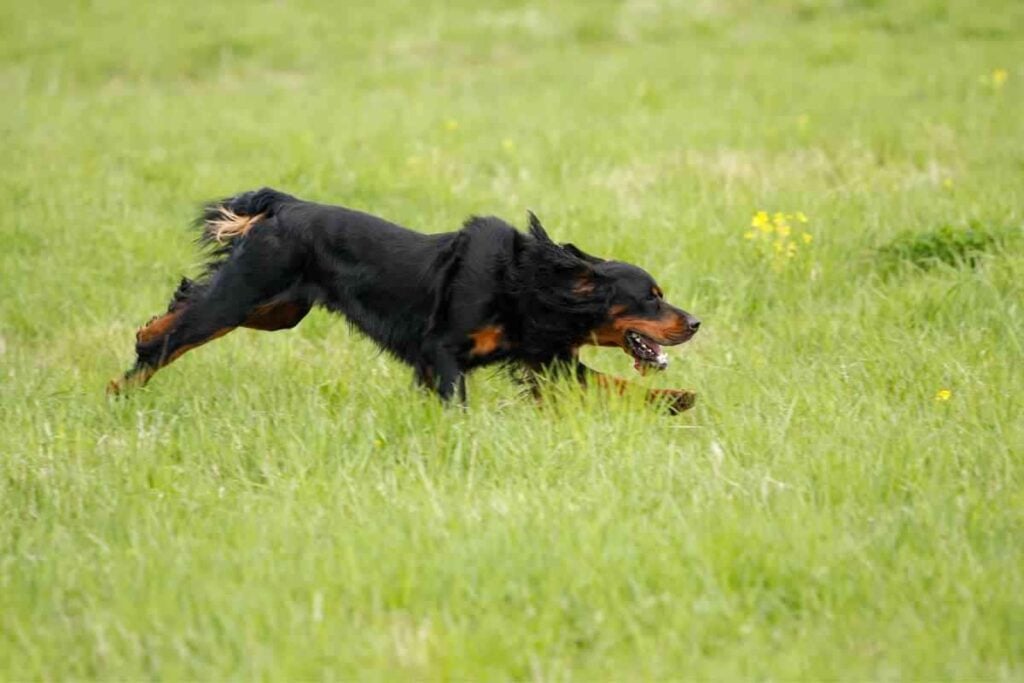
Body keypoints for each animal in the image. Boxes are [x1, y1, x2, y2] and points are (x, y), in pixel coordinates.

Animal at [110, 187, 704, 411]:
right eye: (651, 299)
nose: (695, 322)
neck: (529, 284)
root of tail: (285, 205)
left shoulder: (546, 359)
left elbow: (615, 384)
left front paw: (678, 399)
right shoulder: (442, 350)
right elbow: (454, 399)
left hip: (278, 309)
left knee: (184, 305)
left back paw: (142, 334)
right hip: (246, 294)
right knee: (179, 336)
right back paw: (121, 386)